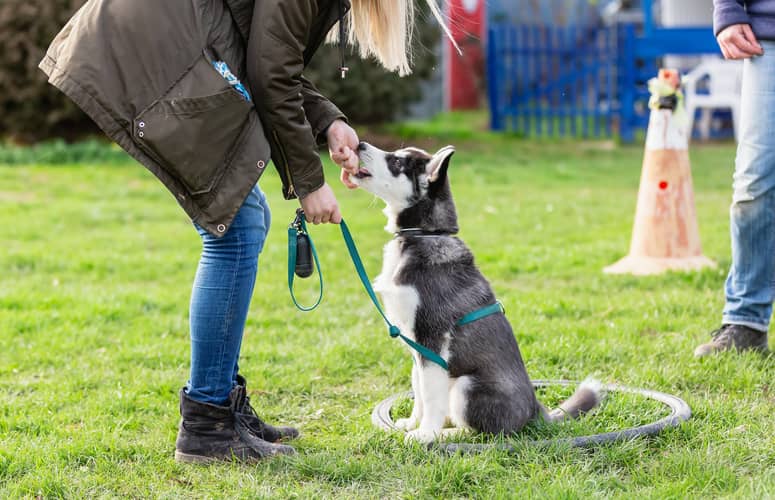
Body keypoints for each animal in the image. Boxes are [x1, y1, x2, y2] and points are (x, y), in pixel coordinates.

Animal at [348, 143, 604, 444]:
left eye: (397, 162)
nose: (359, 144)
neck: (424, 235)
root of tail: (536, 409)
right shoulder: (416, 346)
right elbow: (418, 389)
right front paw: (412, 424)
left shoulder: (432, 340)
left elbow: (430, 396)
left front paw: (425, 434)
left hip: (466, 386)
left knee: (483, 432)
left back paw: (448, 433)